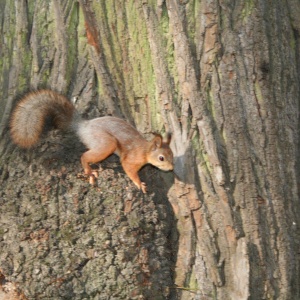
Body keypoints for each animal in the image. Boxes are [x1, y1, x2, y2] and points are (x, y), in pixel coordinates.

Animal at [9, 89, 173, 192]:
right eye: (161, 158)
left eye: (172, 155)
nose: (171, 169)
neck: (145, 150)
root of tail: (83, 126)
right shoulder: (131, 159)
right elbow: (129, 169)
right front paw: (139, 184)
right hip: (106, 143)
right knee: (84, 156)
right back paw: (89, 171)